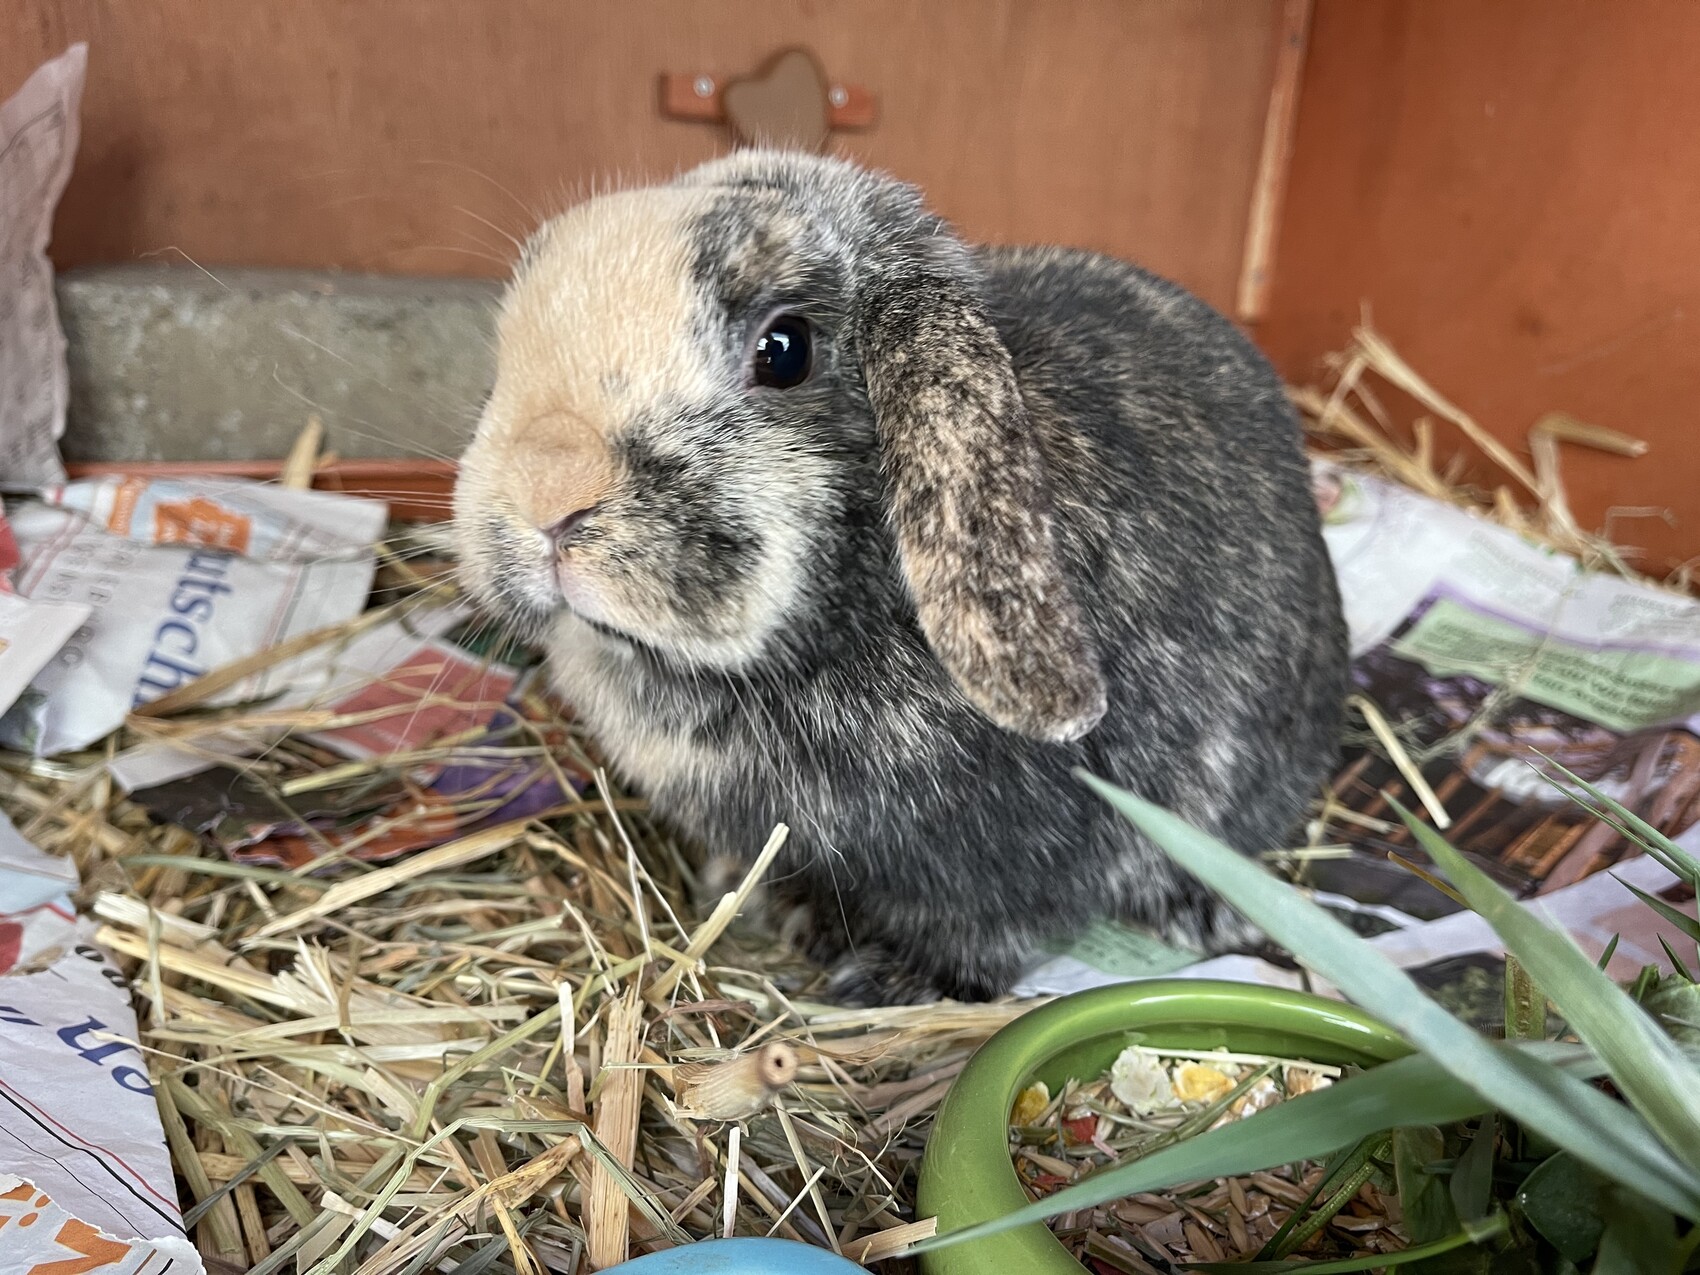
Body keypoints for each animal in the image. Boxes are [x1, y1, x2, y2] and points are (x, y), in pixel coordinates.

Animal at [452, 149, 1349, 1005]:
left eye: (784, 350)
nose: (546, 494)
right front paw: (774, 912)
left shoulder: (1007, 868)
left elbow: (981, 930)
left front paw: (887, 981)